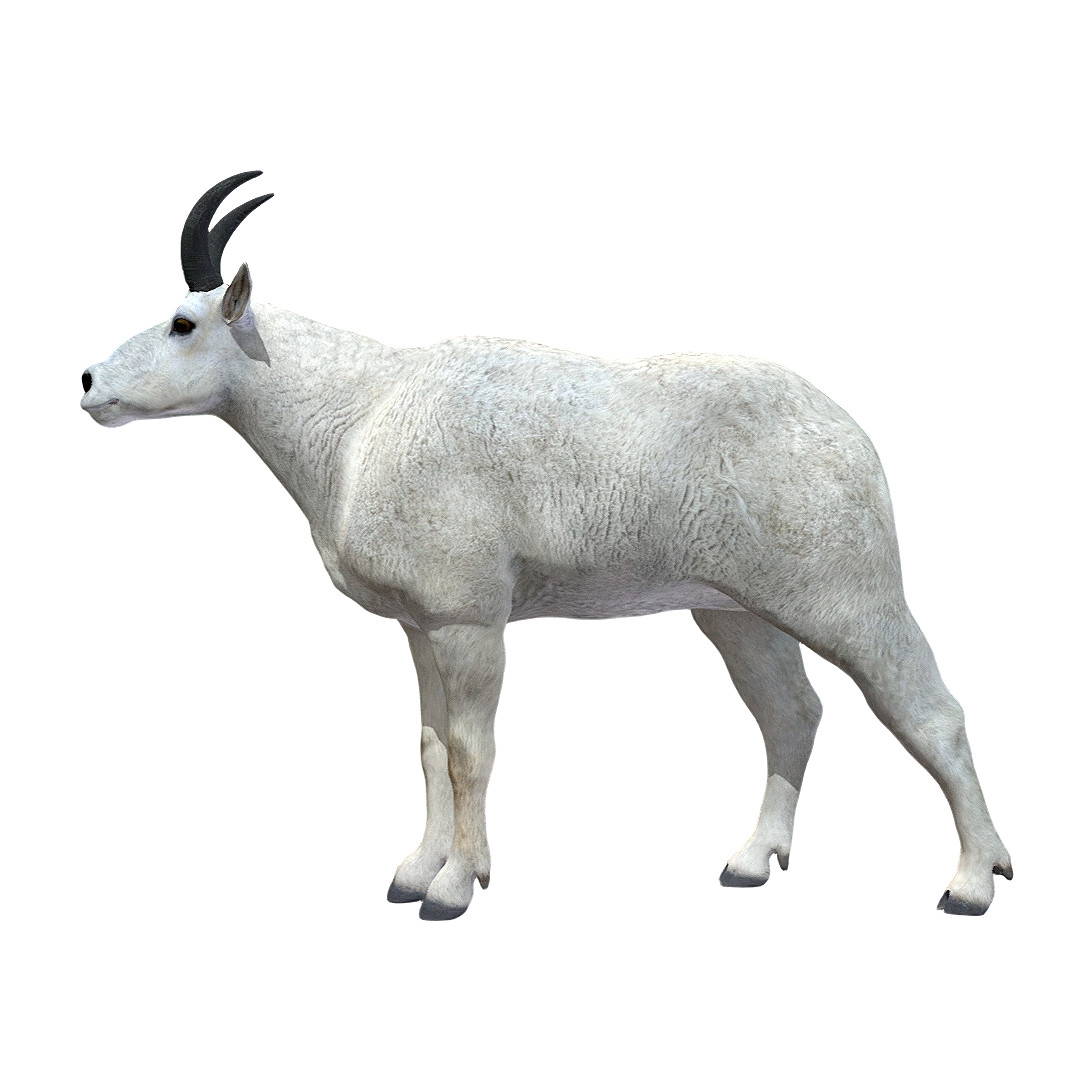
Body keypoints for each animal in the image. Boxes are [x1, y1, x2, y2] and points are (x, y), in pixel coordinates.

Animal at [81, 171, 1013, 920]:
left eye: (182, 322)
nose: (90, 384)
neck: (362, 417)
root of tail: (849, 436)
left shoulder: (470, 620)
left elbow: (468, 755)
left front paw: (460, 887)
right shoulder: (422, 629)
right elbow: (429, 751)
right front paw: (413, 877)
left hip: (846, 600)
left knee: (931, 714)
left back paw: (969, 885)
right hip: (736, 614)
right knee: (791, 712)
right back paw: (751, 864)